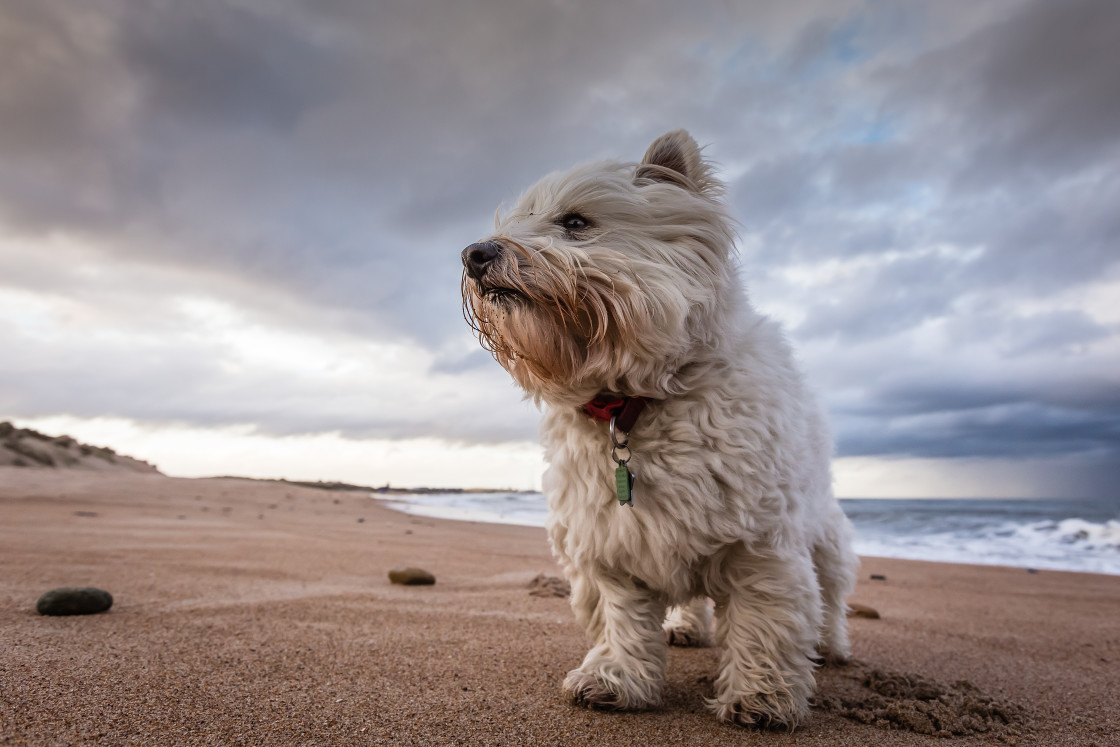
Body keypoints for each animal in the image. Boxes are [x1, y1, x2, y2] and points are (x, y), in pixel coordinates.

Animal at [459, 131, 851, 725]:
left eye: (576, 221)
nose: (474, 254)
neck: (631, 404)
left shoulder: (761, 544)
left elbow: (764, 616)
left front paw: (760, 697)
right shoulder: (616, 543)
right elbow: (624, 621)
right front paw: (618, 679)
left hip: (824, 535)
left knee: (831, 592)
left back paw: (832, 645)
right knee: (692, 598)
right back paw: (686, 628)